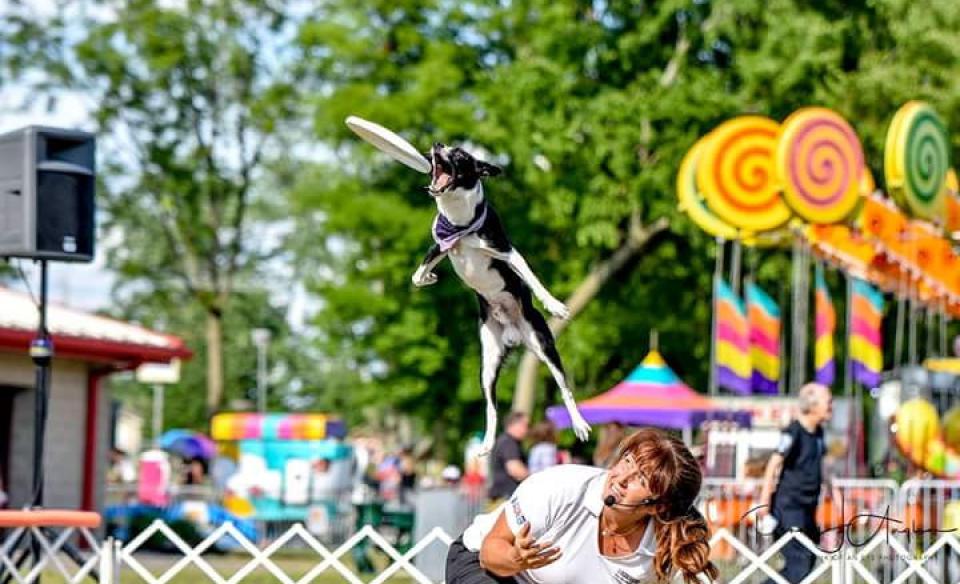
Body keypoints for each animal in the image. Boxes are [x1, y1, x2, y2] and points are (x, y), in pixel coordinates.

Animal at [408, 144, 588, 454]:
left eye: (460, 154)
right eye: (445, 146)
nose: (437, 145)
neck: (459, 218)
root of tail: (514, 334)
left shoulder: (507, 250)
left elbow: (533, 280)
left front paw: (554, 305)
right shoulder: (441, 245)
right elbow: (417, 276)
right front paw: (429, 278)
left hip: (544, 345)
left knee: (564, 388)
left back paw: (578, 424)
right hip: (487, 366)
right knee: (492, 409)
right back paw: (488, 443)